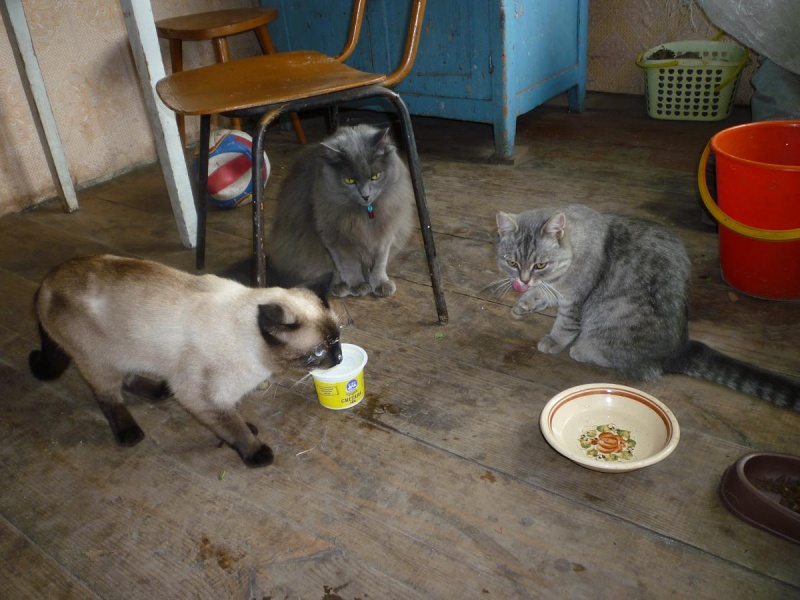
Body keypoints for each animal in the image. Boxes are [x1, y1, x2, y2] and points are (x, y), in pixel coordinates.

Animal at [29, 254, 343, 467]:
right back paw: (130, 432)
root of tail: (45, 282)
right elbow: (231, 425)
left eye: (338, 339)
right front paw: (254, 450)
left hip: (126, 352)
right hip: (98, 359)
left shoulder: (217, 396)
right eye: (318, 352)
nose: (339, 358)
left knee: (127, 378)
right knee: (108, 396)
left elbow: (232, 414)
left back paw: (159, 391)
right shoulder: (198, 395)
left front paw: (246, 428)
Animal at [266, 124, 414, 298]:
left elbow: (379, 262)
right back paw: (340, 286)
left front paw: (380, 283)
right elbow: (349, 264)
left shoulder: (385, 232)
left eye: (375, 176)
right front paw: (358, 284)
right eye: (349, 180)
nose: (365, 195)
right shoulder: (333, 236)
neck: (363, 213)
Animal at [493, 204, 800, 410]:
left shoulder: (575, 299)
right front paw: (524, 305)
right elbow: (544, 294)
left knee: (640, 366)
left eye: (540, 264)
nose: (523, 280)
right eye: (512, 262)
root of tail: (680, 348)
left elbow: (565, 323)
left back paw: (583, 350)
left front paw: (554, 340)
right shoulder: (555, 289)